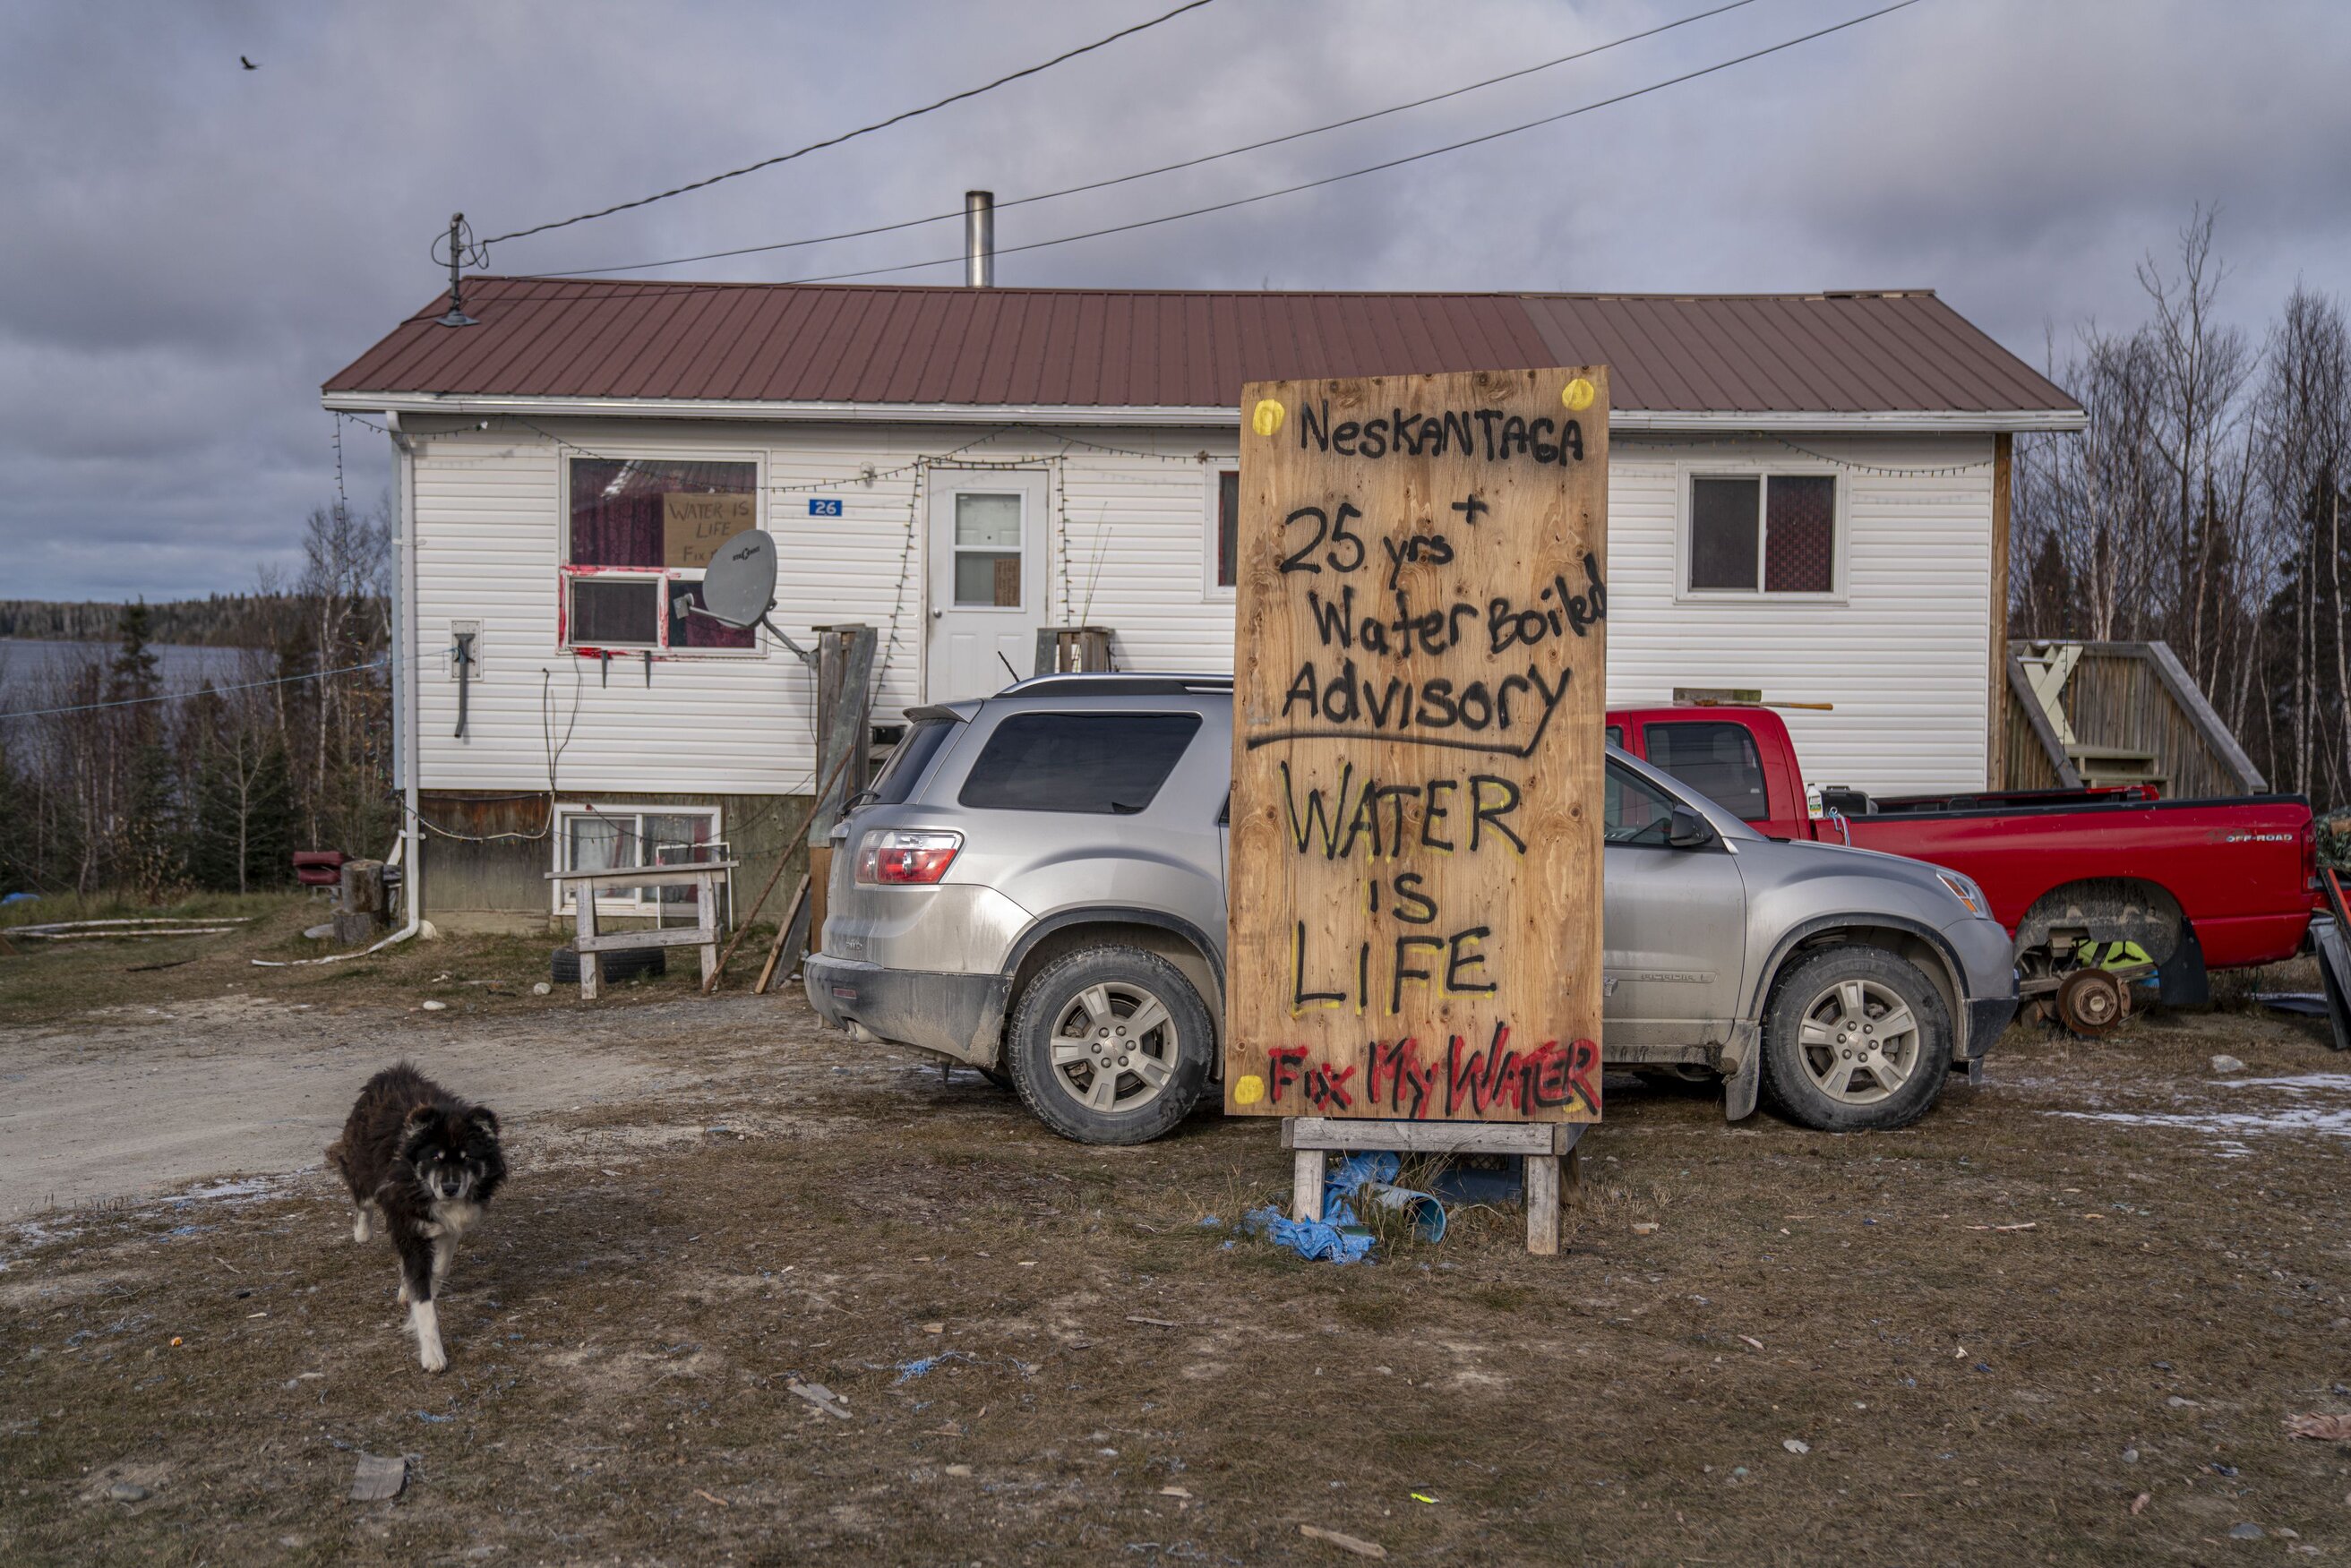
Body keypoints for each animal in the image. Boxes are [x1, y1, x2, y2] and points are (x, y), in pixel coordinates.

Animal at [326, 1067, 505, 1373]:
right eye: (435, 1157)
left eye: (468, 1157)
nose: (450, 1188)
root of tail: (391, 1072)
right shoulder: (409, 1223)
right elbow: (423, 1299)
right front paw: (433, 1354)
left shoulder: (447, 1227)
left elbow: (439, 1267)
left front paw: (421, 1287)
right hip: (363, 1167)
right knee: (364, 1201)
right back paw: (362, 1233)